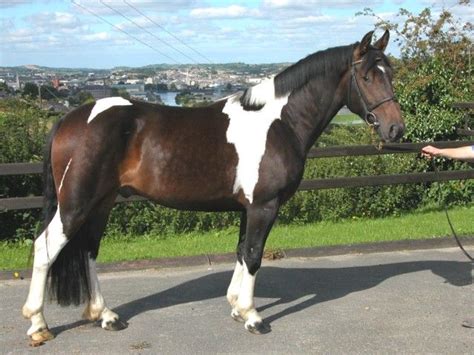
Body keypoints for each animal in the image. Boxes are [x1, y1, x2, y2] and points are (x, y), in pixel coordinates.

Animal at [23, 29, 404, 342]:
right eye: (367, 76)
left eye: (391, 73)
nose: (395, 129)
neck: (279, 122)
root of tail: (70, 118)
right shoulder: (264, 206)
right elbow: (254, 254)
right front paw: (252, 317)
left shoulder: (247, 208)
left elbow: (241, 251)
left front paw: (236, 306)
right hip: (76, 203)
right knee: (45, 247)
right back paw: (38, 324)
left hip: (101, 202)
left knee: (88, 249)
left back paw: (105, 316)